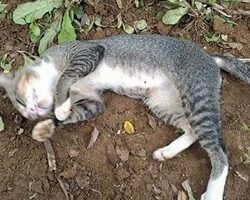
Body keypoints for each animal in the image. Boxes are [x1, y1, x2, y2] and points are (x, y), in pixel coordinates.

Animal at [0, 33, 249, 199]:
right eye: (22, 109)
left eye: (19, 101)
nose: (31, 113)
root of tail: (209, 55)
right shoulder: (94, 101)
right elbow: (74, 113)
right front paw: (46, 126)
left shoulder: (87, 51)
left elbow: (66, 77)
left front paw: (60, 106)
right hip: (162, 102)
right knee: (192, 131)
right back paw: (166, 152)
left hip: (197, 96)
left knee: (220, 152)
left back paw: (213, 192)